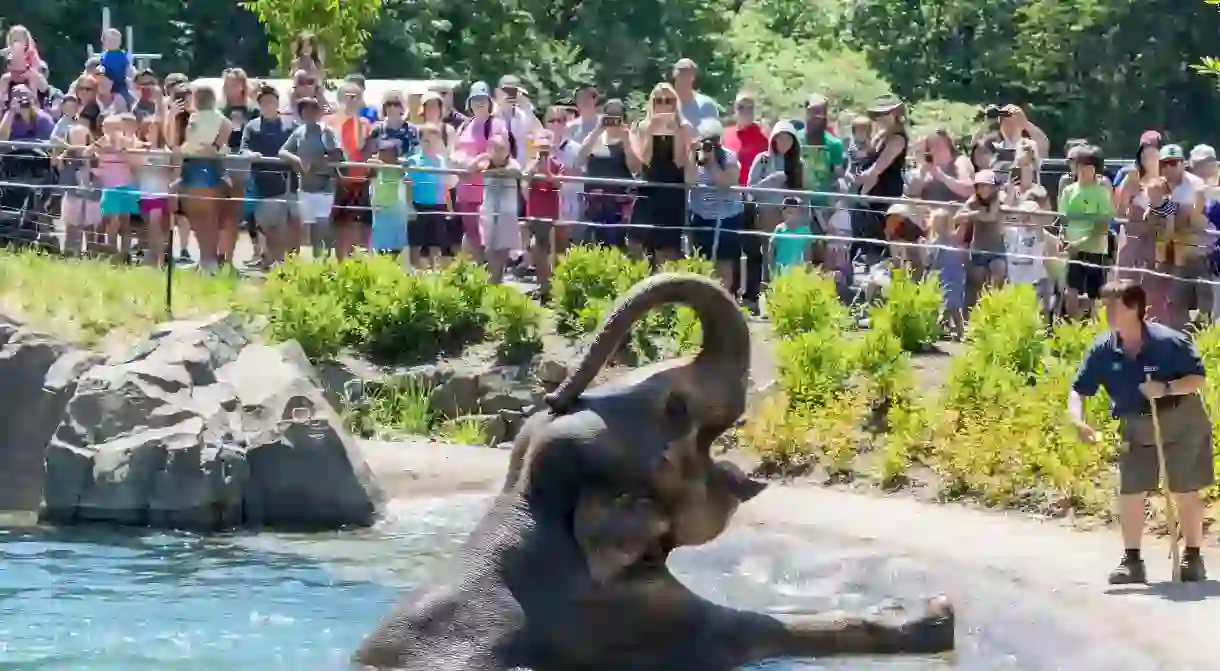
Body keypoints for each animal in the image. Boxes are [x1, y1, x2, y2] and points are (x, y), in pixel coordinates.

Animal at [353, 274, 951, 671]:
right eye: (676, 409)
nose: (554, 393)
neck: (522, 508)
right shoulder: (625, 619)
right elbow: (753, 627)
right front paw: (931, 615)